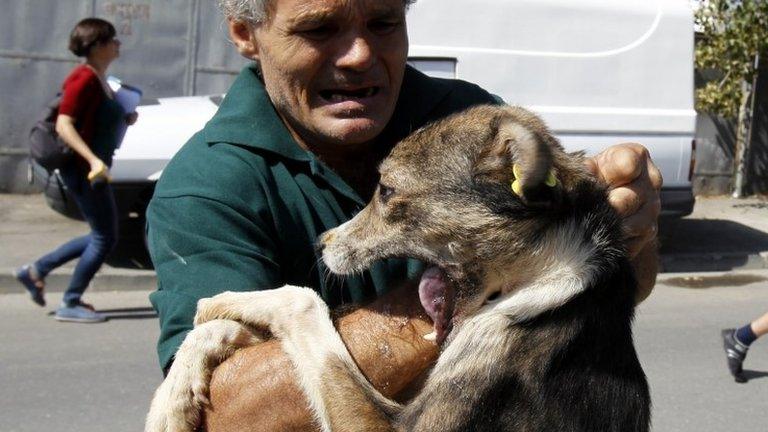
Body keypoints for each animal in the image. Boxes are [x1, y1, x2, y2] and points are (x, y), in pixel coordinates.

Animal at [142, 105, 648, 432]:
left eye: (385, 190)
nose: (321, 243)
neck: (545, 276)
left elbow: (303, 301)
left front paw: (226, 302)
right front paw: (175, 392)